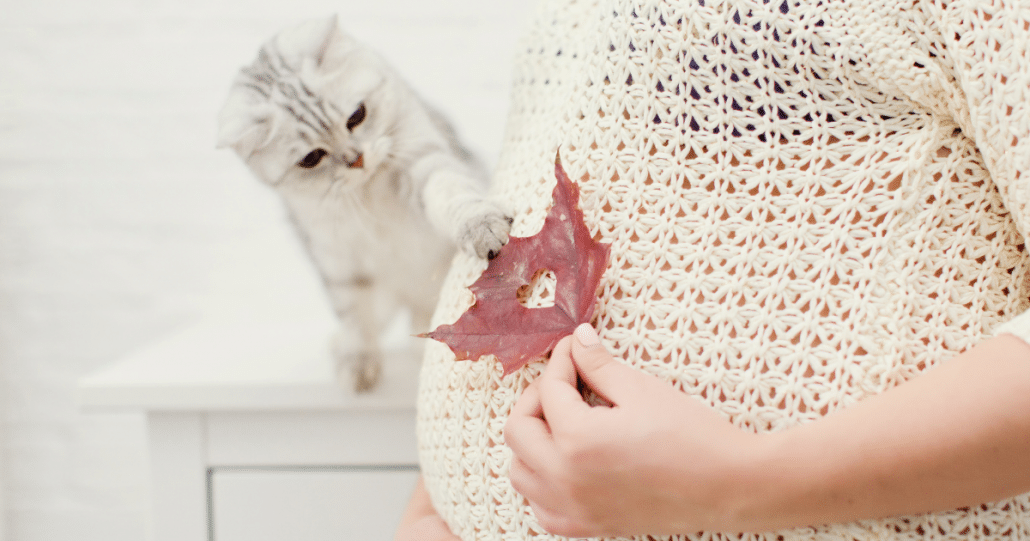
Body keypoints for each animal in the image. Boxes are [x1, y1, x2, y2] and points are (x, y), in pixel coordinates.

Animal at [217, 14, 510, 389]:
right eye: (311, 158)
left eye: (357, 115)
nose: (356, 160)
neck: (367, 193)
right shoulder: (336, 258)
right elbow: (354, 315)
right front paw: (358, 364)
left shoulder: (425, 162)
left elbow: (453, 193)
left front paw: (480, 226)